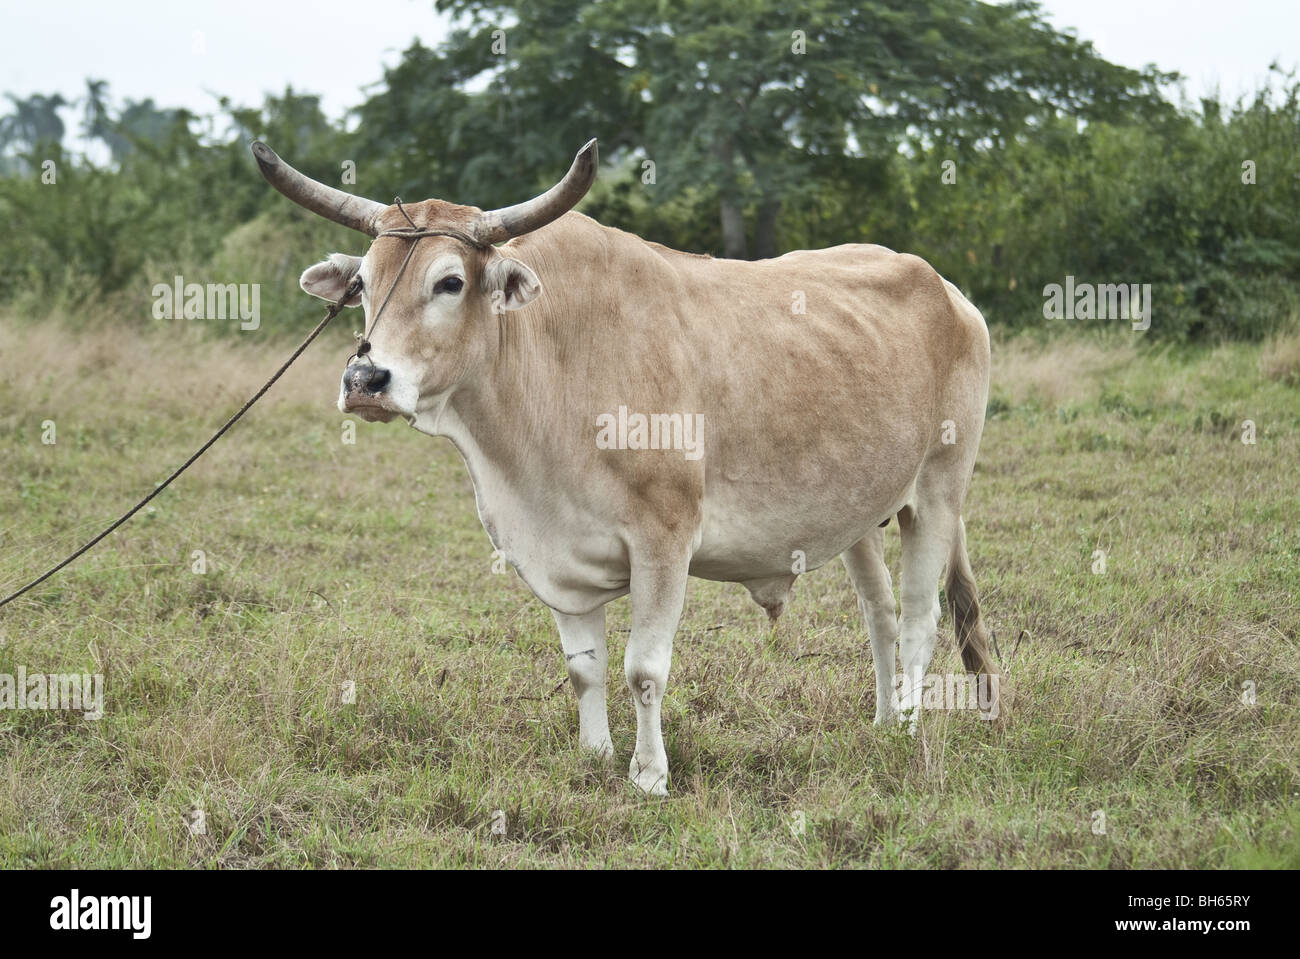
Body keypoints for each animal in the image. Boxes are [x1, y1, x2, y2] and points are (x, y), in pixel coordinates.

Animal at [253, 134, 1003, 790]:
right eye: (362, 281)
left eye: (450, 281)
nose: (366, 379)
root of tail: (947, 290)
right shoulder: (559, 556)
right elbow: (585, 668)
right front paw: (595, 755)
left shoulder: (663, 541)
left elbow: (645, 668)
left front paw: (648, 774)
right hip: (859, 512)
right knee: (879, 613)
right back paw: (882, 720)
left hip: (936, 494)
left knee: (919, 618)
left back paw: (909, 728)